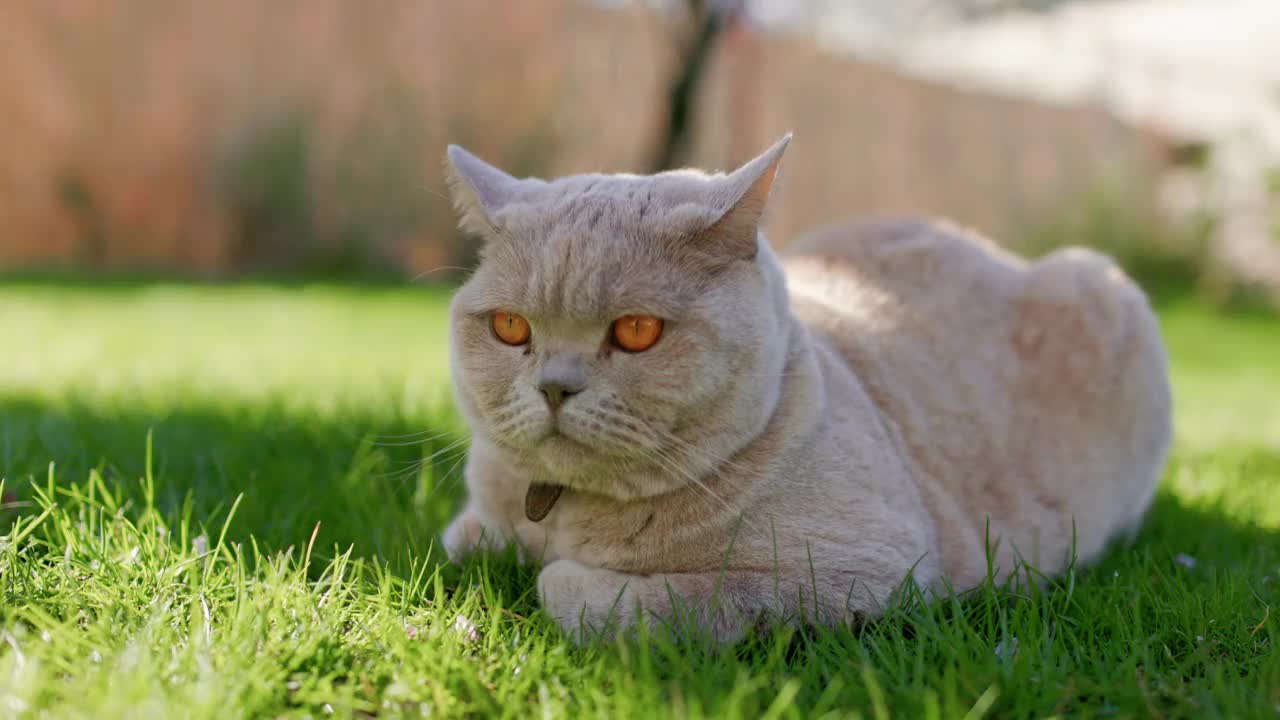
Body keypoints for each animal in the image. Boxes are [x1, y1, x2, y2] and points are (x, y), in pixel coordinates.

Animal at [437, 133, 1172, 638]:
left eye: (637, 331)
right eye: (509, 327)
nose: (554, 388)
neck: (562, 515)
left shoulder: (863, 570)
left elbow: (613, 594)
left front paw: (557, 578)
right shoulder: (476, 521)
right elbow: (462, 542)